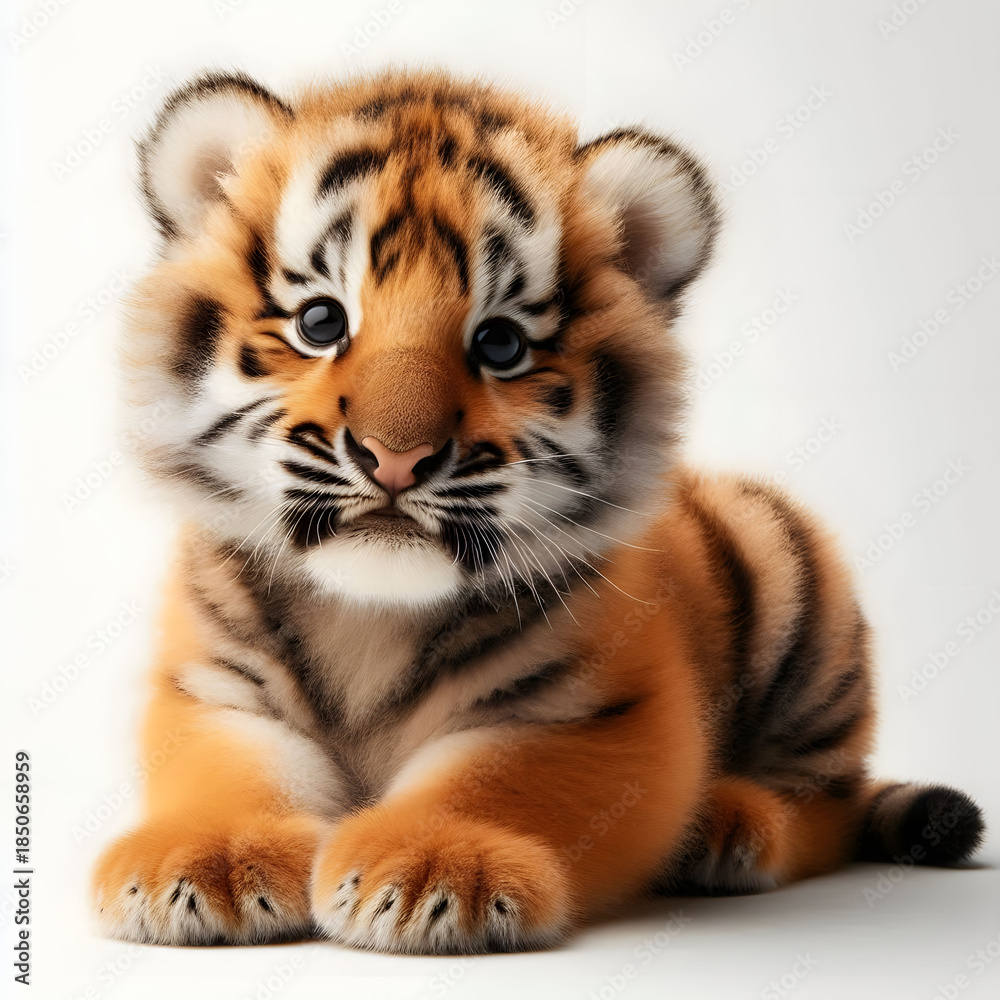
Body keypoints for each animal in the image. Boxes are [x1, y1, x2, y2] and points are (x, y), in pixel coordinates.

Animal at [92, 68, 985, 954]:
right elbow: (232, 768)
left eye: (500, 345)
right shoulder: (214, 688)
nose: (395, 457)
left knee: (828, 797)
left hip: (789, 573)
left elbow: (491, 780)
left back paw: (726, 827)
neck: (372, 616)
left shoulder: (590, 711)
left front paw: (433, 871)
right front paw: (207, 861)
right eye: (320, 322)